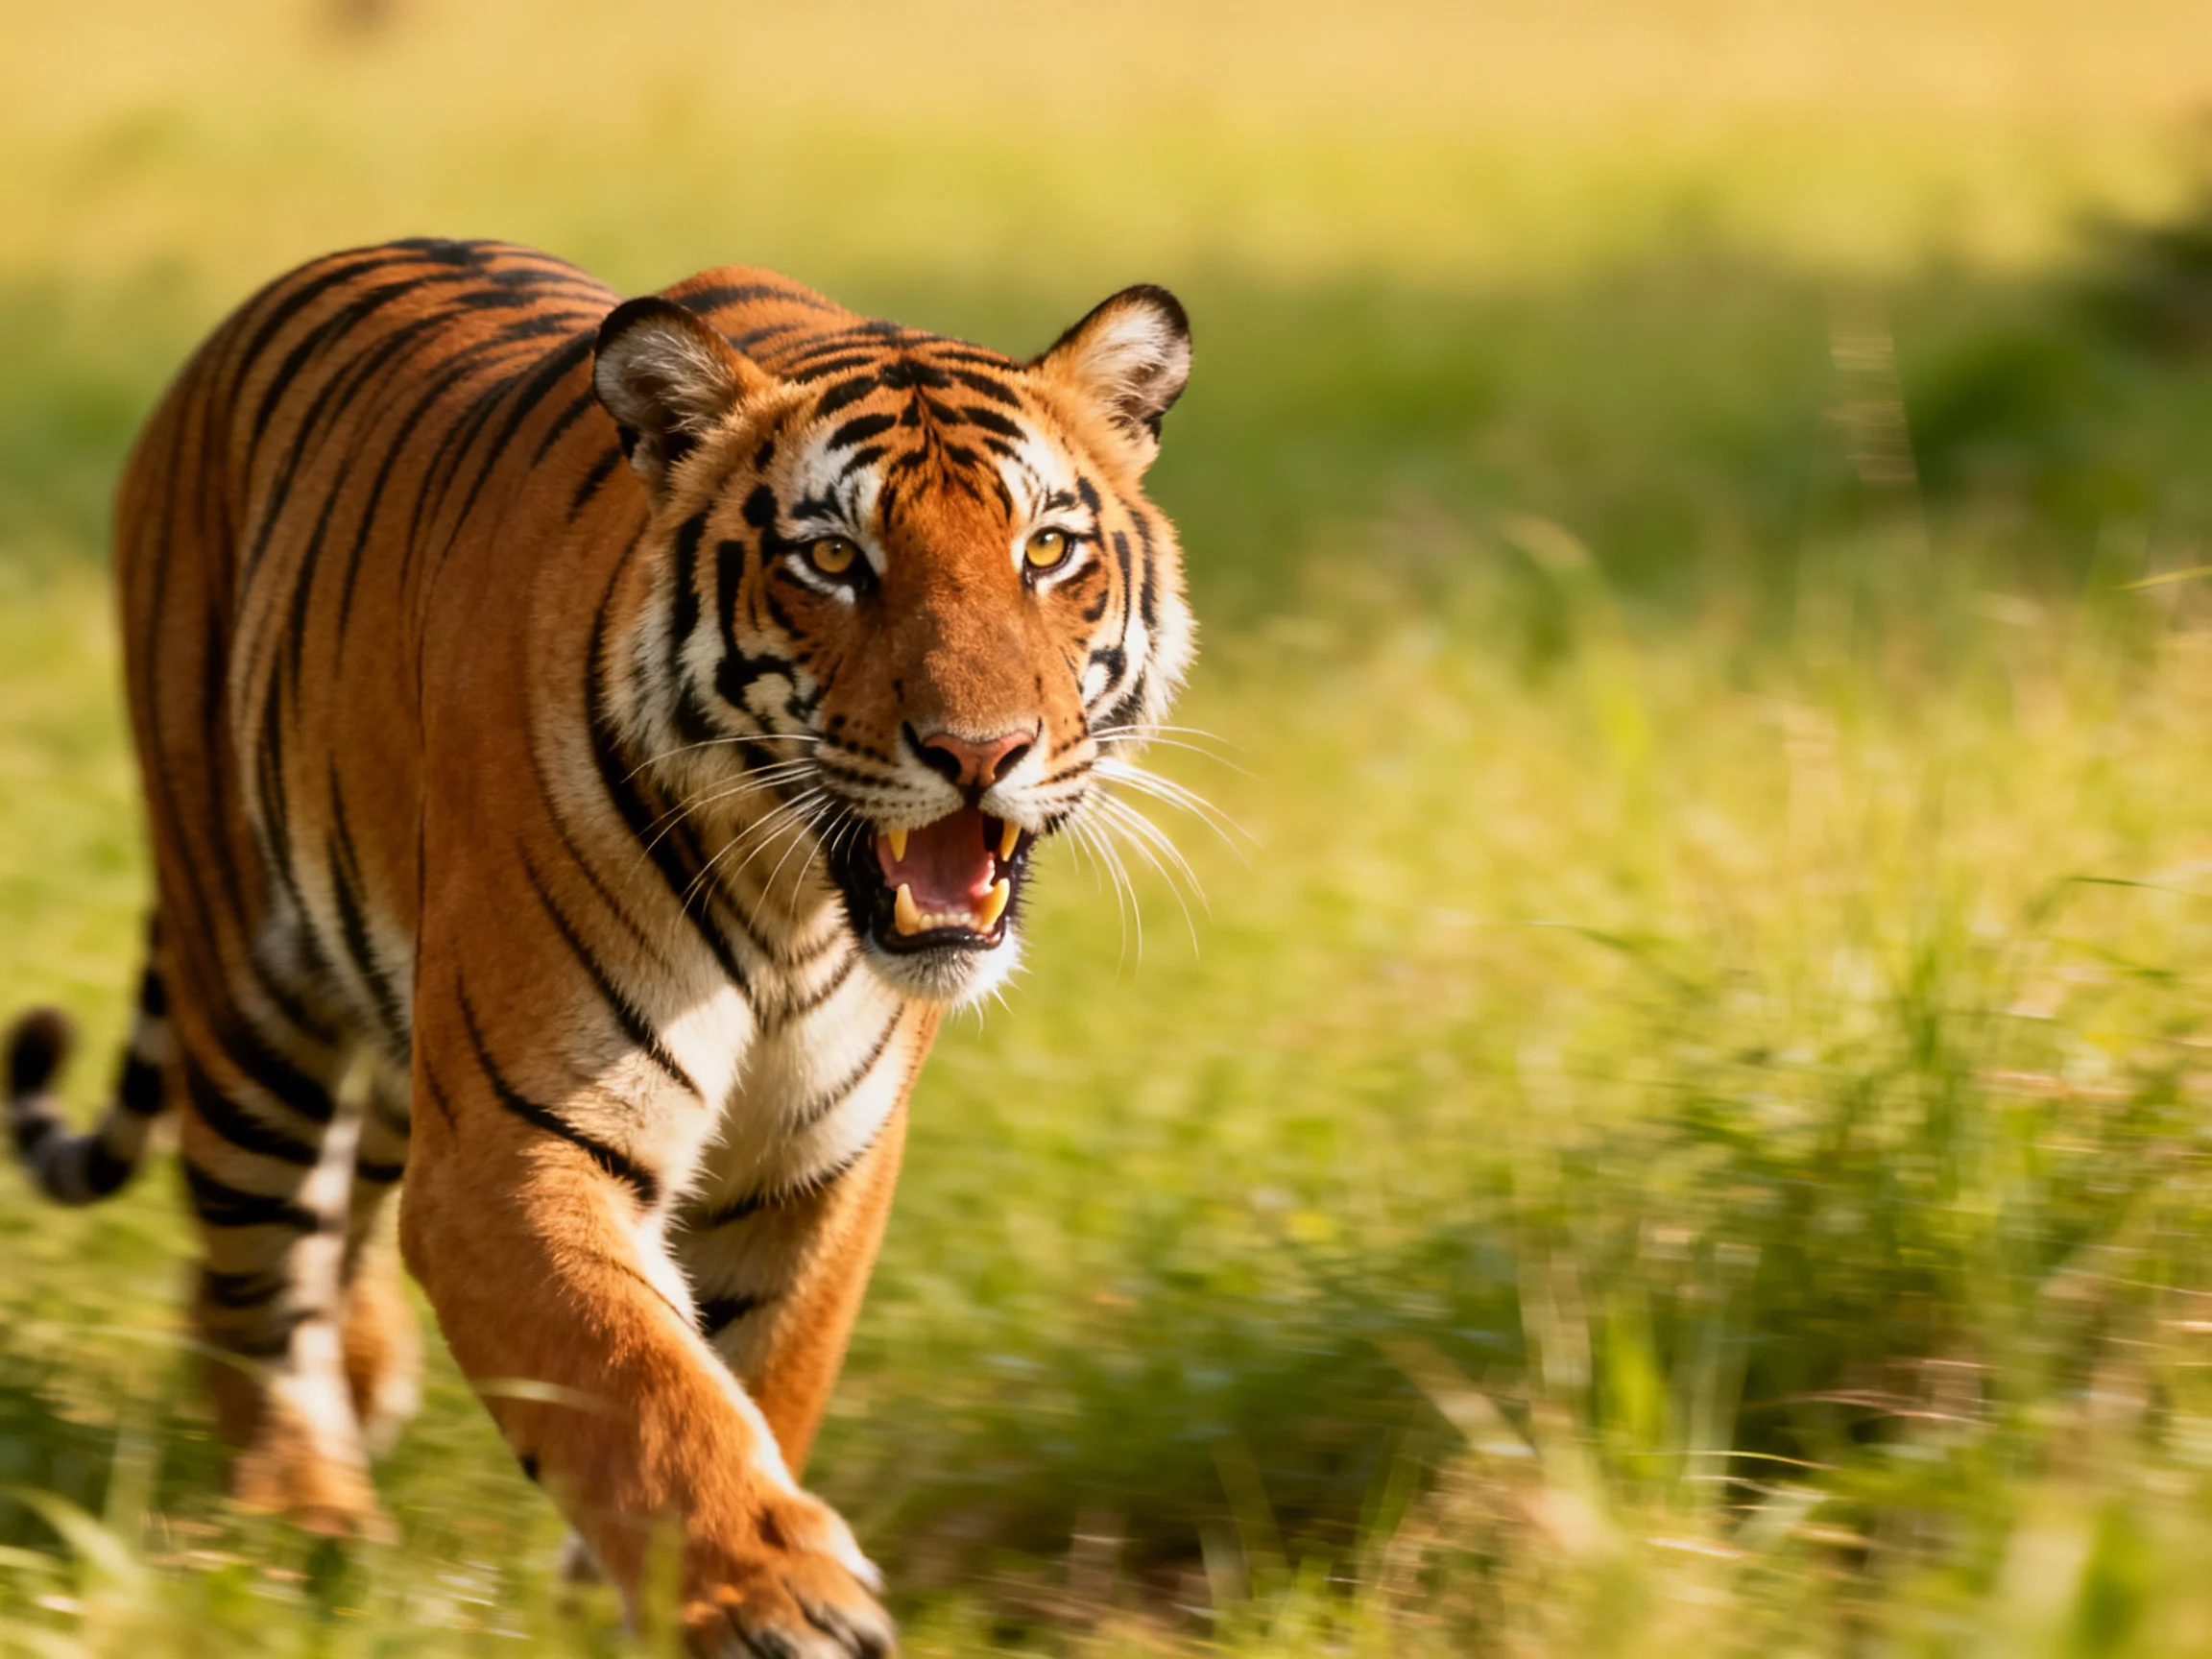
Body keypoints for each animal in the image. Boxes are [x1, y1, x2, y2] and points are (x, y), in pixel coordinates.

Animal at [3, 237, 1193, 1657]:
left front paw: (630, 1595)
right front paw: (774, 1599)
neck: (796, 908)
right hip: (248, 985)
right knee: (249, 1279)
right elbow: (644, 1387)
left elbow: (757, 1378)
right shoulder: (515, 1149)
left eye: (1047, 549)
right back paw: (302, 1522)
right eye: (832, 559)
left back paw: (367, 1387)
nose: (981, 752)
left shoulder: (815, 1167)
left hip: (396, 1033)